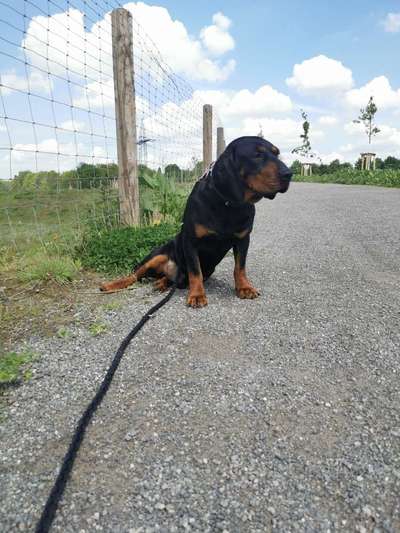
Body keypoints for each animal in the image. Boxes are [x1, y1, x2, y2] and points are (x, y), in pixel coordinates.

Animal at [99, 135, 294, 306]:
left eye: (277, 154)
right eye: (257, 155)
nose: (289, 174)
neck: (227, 203)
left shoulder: (243, 240)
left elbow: (240, 267)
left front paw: (244, 288)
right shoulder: (191, 242)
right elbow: (195, 271)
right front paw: (197, 295)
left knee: (171, 279)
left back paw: (161, 283)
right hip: (157, 255)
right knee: (135, 274)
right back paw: (112, 285)